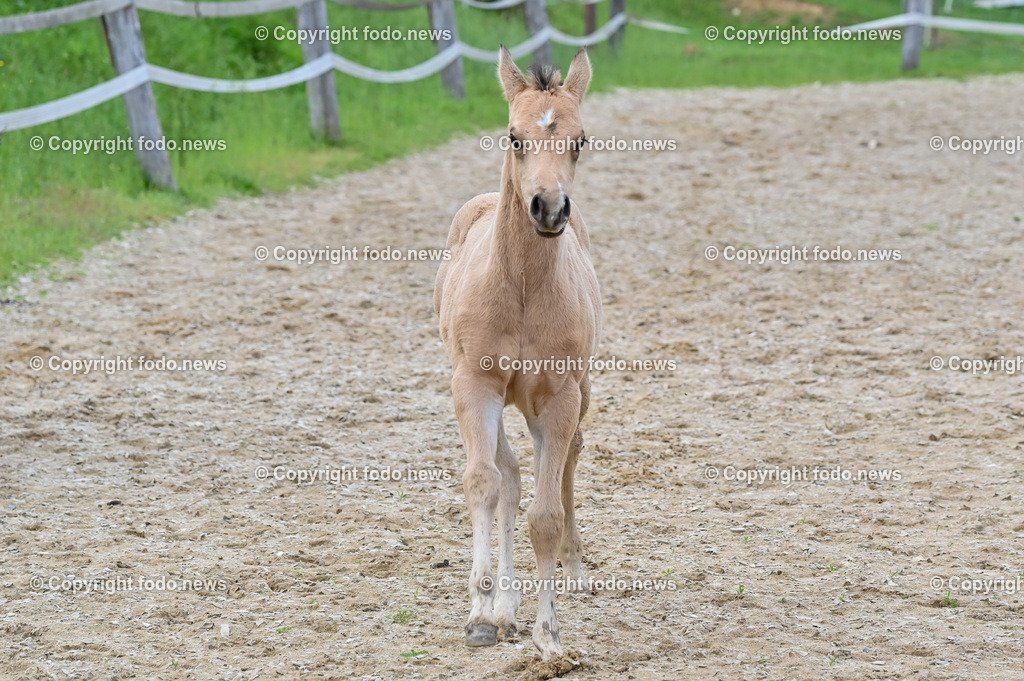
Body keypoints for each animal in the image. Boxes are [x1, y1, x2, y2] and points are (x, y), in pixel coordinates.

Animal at [434, 46, 601, 661]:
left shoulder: (558, 397)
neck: (522, 289)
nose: (548, 208)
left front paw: (549, 636)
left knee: (568, 459)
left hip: (576, 392)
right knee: (505, 475)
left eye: (580, 139)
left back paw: (571, 574)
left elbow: (545, 514)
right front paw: (482, 614)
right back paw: (501, 606)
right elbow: (485, 483)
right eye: (513, 136)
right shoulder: (474, 385)